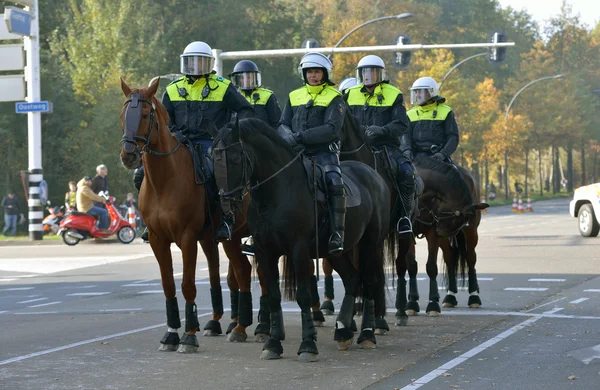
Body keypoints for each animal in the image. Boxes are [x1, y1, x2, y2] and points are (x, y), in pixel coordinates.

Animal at [120, 77, 262, 352]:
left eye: (145, 114)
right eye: (123, 115)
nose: (129, 155)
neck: (164, 181)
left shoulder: (187, 238)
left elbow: (187, 284)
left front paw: (189, 335)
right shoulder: (158, 240)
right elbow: (168, 285)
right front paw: (172, 333)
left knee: (248, 272)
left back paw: (253, 326)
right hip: (225, 239)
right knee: (234, 272)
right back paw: (233, 323)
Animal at [213, 117, 392, 362]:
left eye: (234, 158)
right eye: (212, 158)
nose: (226, 205)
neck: (277, 192)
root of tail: (374, 176)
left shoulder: (298, 251)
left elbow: (303, 296)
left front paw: (308, 344)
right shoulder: (265, 252)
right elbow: (274, 296)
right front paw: (273, 343)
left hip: (371, 244)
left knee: (371, 281)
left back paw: (366, 334)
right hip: (337, 251)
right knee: (353, 280)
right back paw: (343, 331)